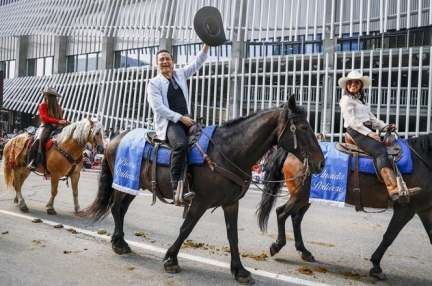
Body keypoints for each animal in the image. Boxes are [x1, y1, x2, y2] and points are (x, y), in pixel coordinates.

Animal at [81, 96, 324, 284]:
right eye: (304, 127)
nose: (321, 162)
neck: (228, 151)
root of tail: (115, 139)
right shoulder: (199, 202)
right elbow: (186, 229)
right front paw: (171, 259)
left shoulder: (230, 203)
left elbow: (233, 236)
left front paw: (240, 270)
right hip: (123, 184)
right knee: (115, 208)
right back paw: (118, 244)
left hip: (132, 185)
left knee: (121, 210)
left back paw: (120, 242)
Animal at [256, 134, 432, 280]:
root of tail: (293, 153)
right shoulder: (406, 209)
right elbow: (389, 236)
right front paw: (376, 266)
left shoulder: (425, 211)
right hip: (299, 196)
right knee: (281, 213)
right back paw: (277, 245)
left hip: (307, 197)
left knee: (296, 218)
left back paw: (304, 251)